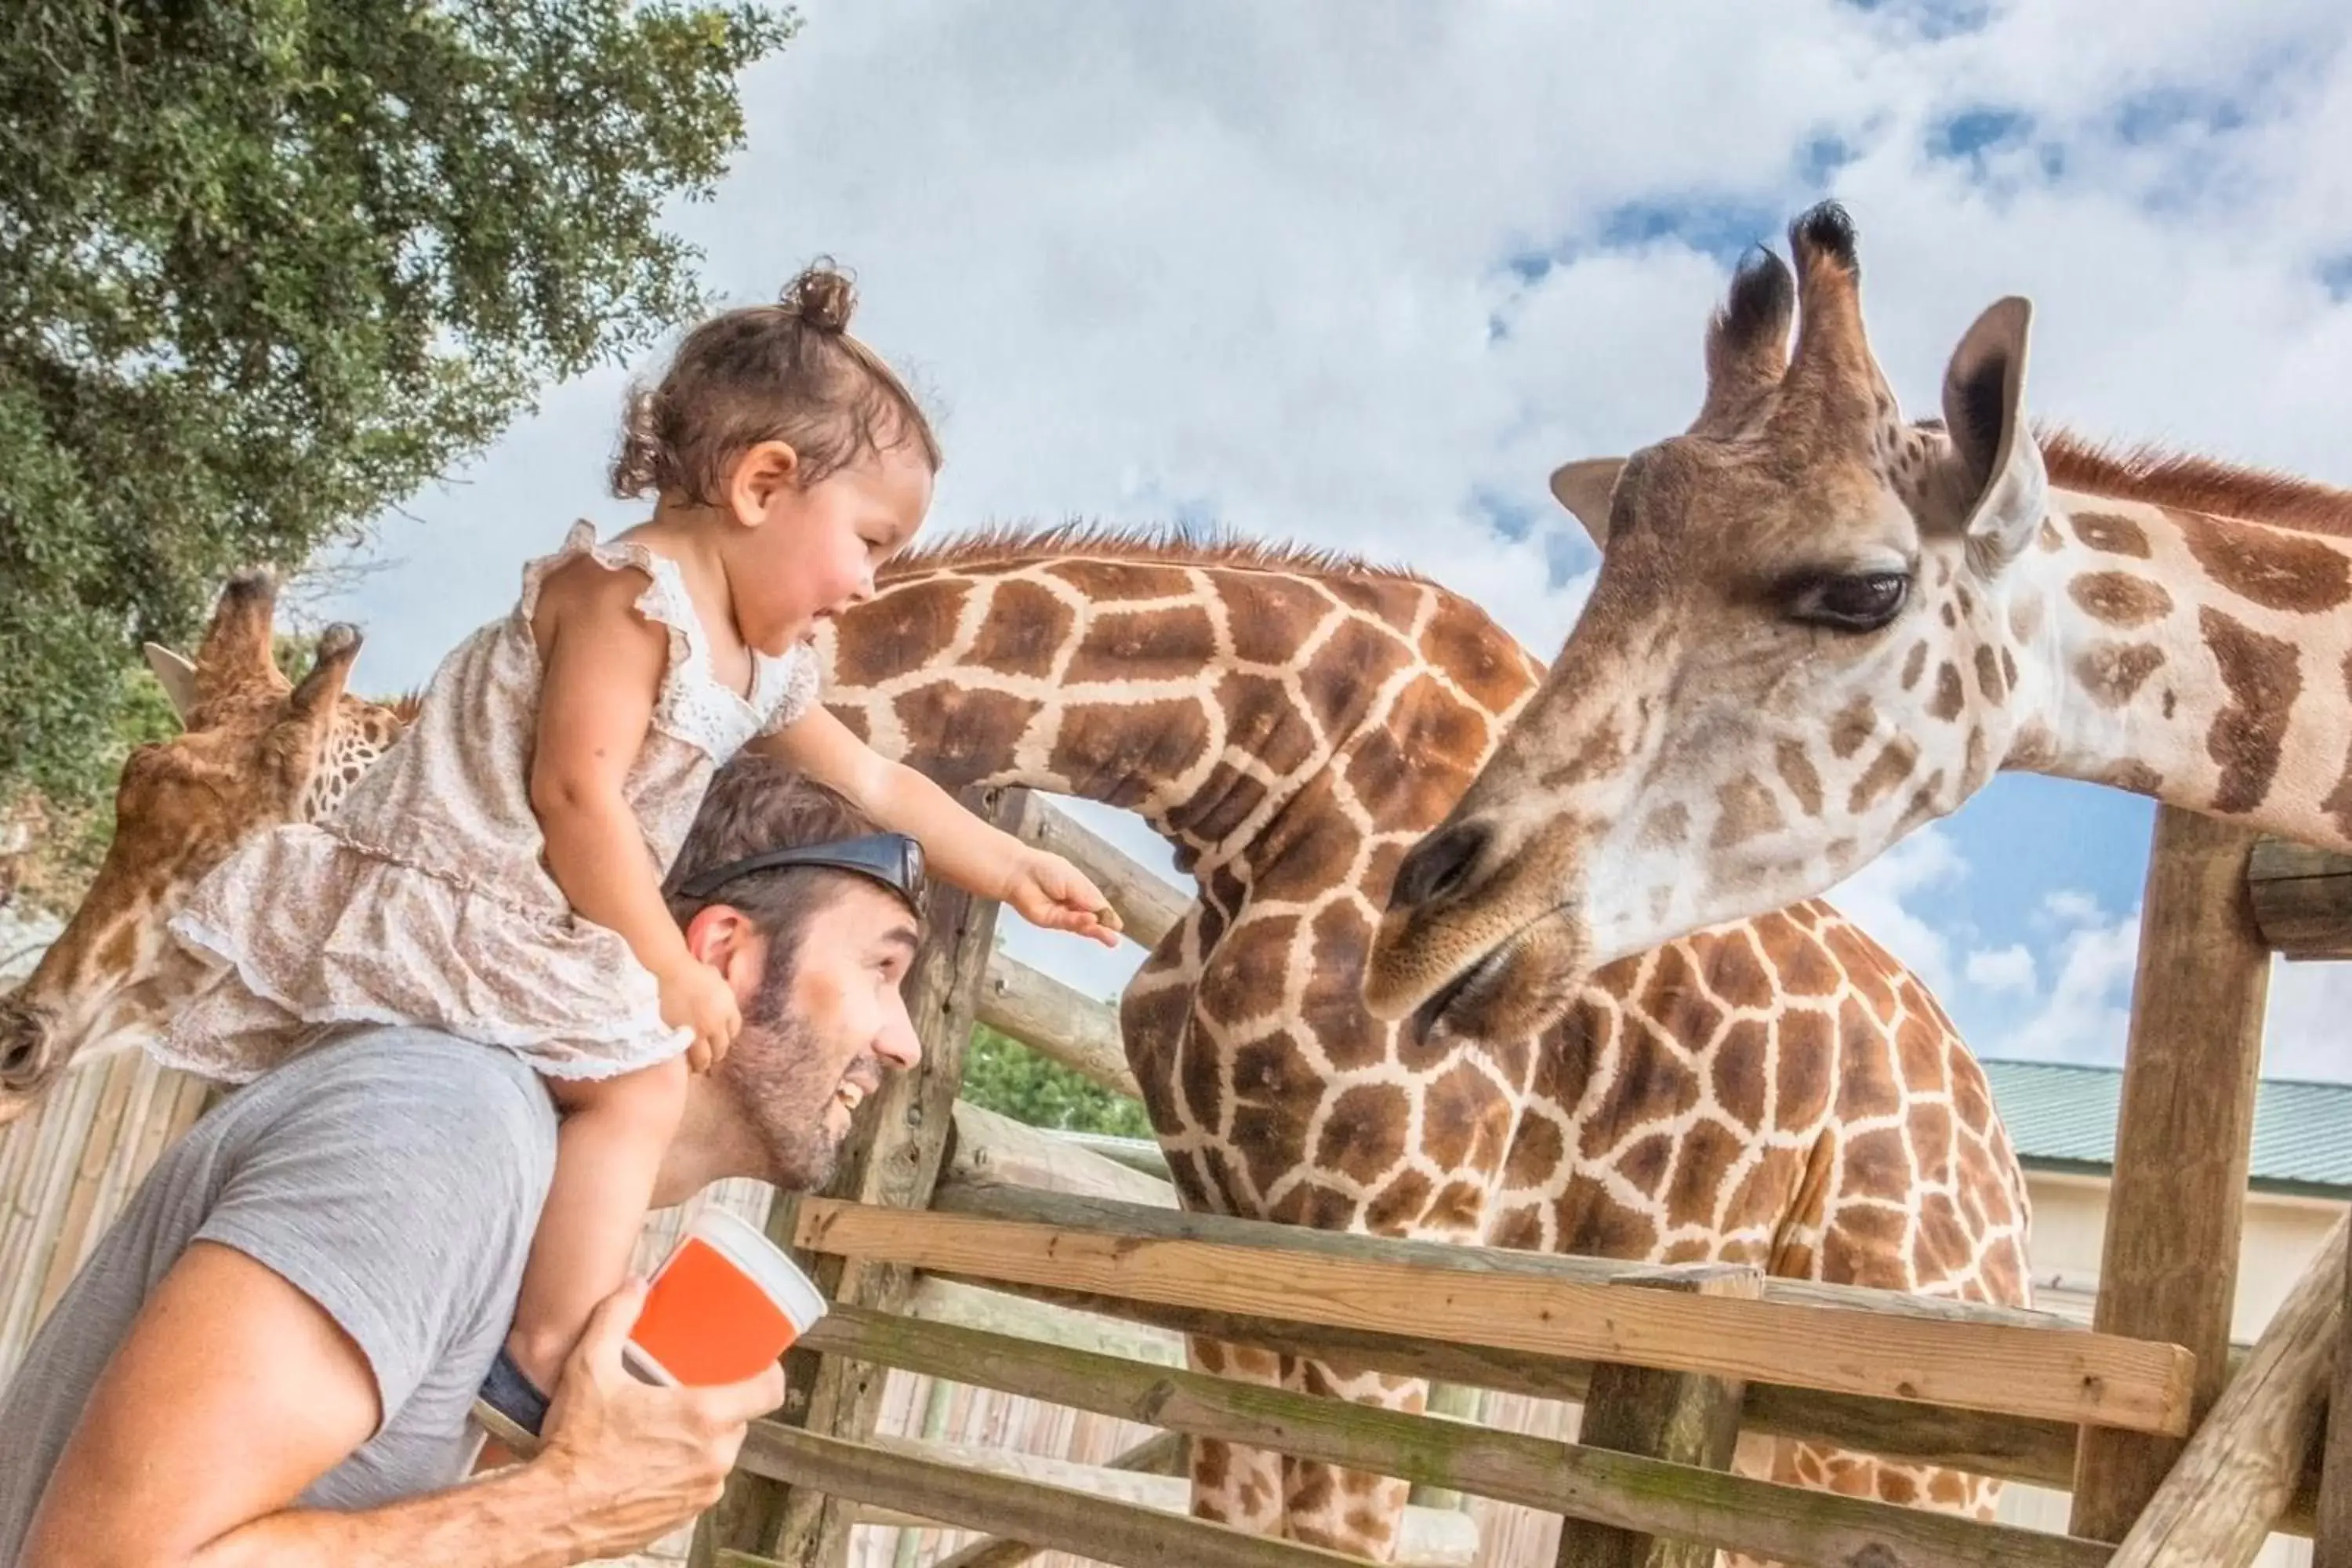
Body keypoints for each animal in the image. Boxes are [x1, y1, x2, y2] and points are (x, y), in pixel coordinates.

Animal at [4, 535, 2042, 1561]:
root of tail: (2007, 1185)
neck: (1259, 770)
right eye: (136, 785)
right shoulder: (1243, 1258)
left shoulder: (1398, 1251)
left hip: (1889, 1404)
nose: (30, 1024)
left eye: (264, 825)